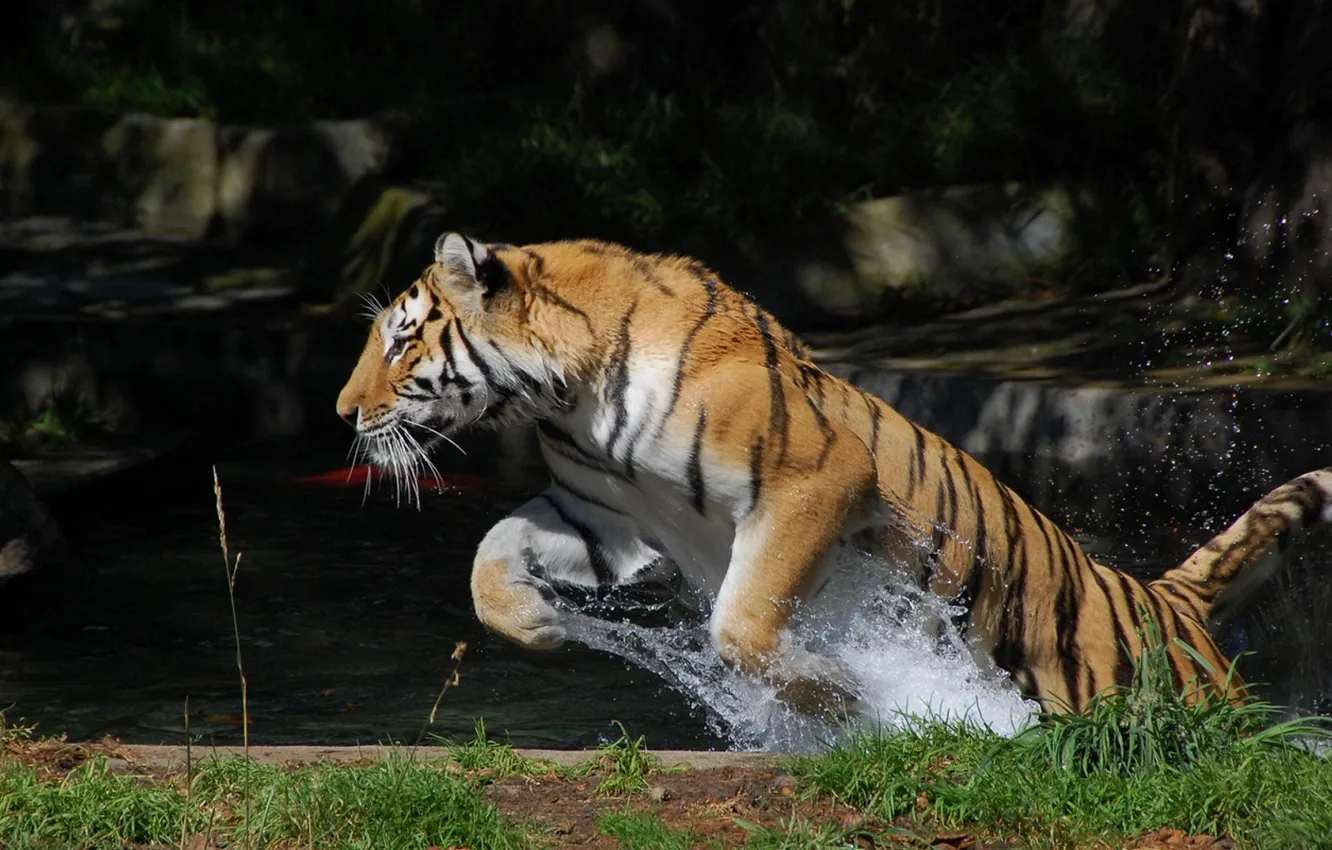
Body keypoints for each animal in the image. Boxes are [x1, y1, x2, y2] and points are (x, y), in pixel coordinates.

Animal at [335, 231, 1332, 718]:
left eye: (402, 339)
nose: (344, 413)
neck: (568, 395)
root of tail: (1167, 599)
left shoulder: (814, 480)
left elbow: (741, 623)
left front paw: (846, 698)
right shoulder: (604, 517)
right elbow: (489, 554)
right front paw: (538, 624)